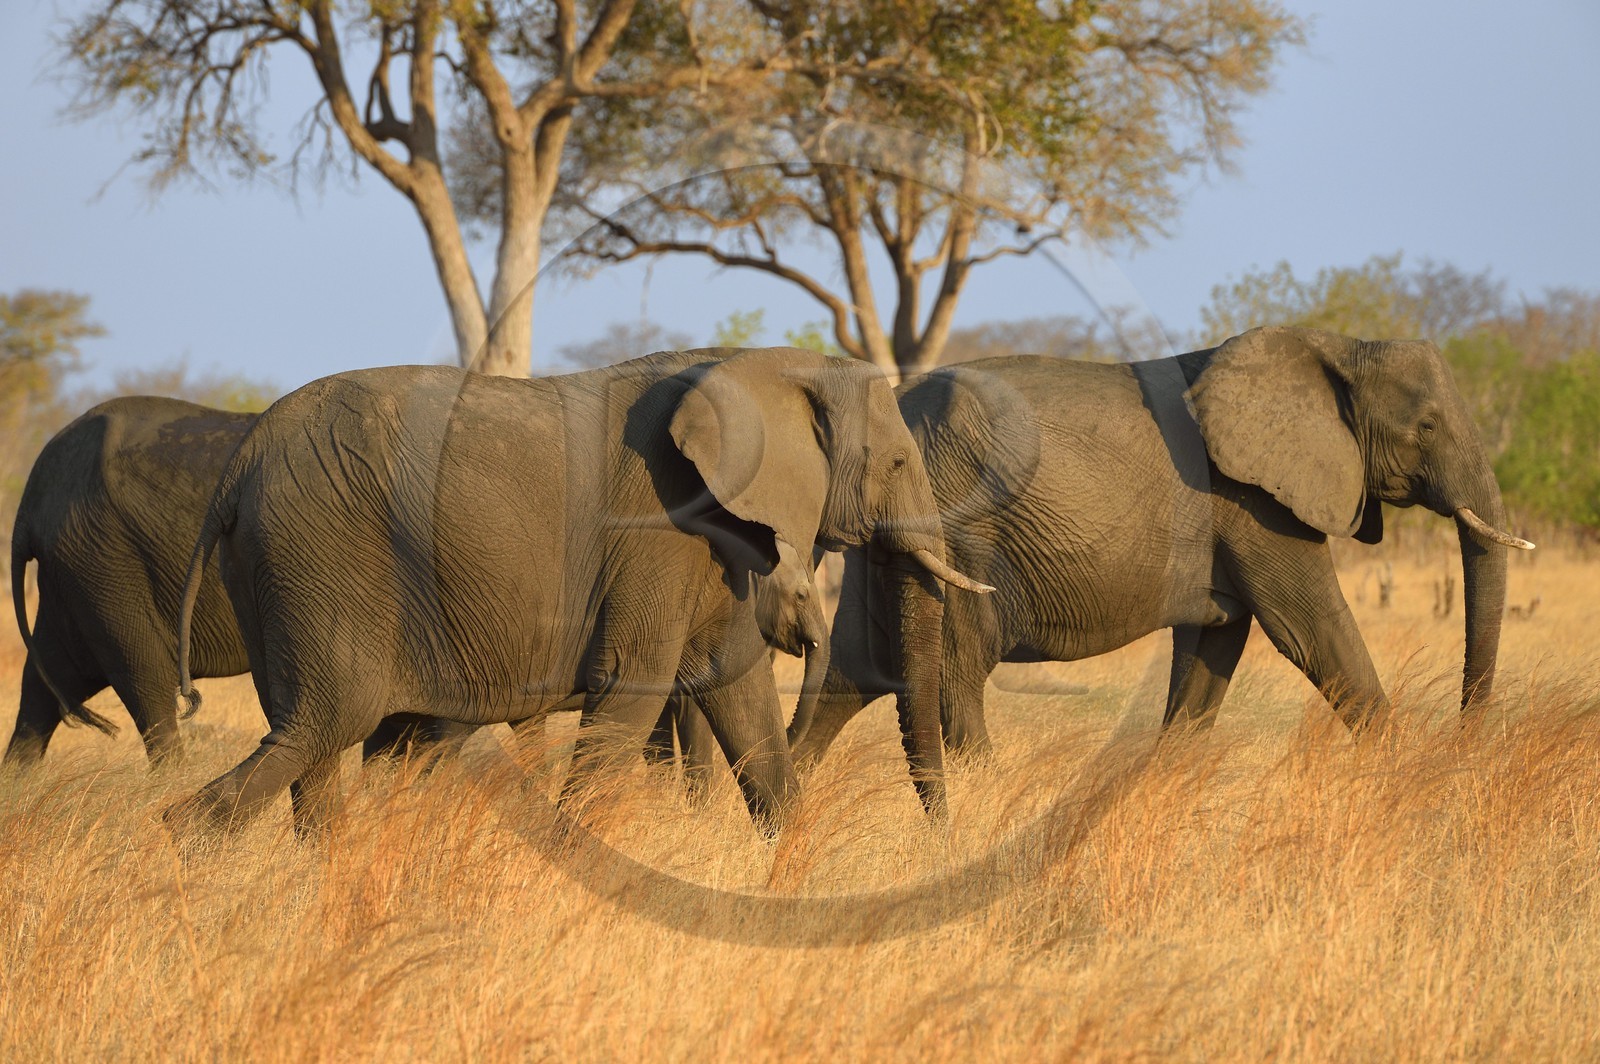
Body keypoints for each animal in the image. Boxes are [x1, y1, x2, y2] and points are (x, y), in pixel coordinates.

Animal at [6, 396, 256, 767]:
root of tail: (28, 505)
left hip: (75, 573)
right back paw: (177, 776)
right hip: (104, 562)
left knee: (44, 685)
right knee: (146, 679)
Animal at [169, 348, 987, 835]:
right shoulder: (661, 526)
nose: (942, 840)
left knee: (318, 746)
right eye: (898, 462)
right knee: (321, 725)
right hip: (322, 556)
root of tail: (238, 466)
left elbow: (741, 692)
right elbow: (632, 684)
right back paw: (186, 849)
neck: (764, 367)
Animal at [790, 327, 1533, 793]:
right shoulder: (1254, 503)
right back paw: (988, 803)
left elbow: (1213, 648)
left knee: (852, 671)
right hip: (961, 520)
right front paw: (1409, 782)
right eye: (1427, 427)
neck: (1338, 348)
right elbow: (1313, 631)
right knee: (954, 673)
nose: (1467, 738)